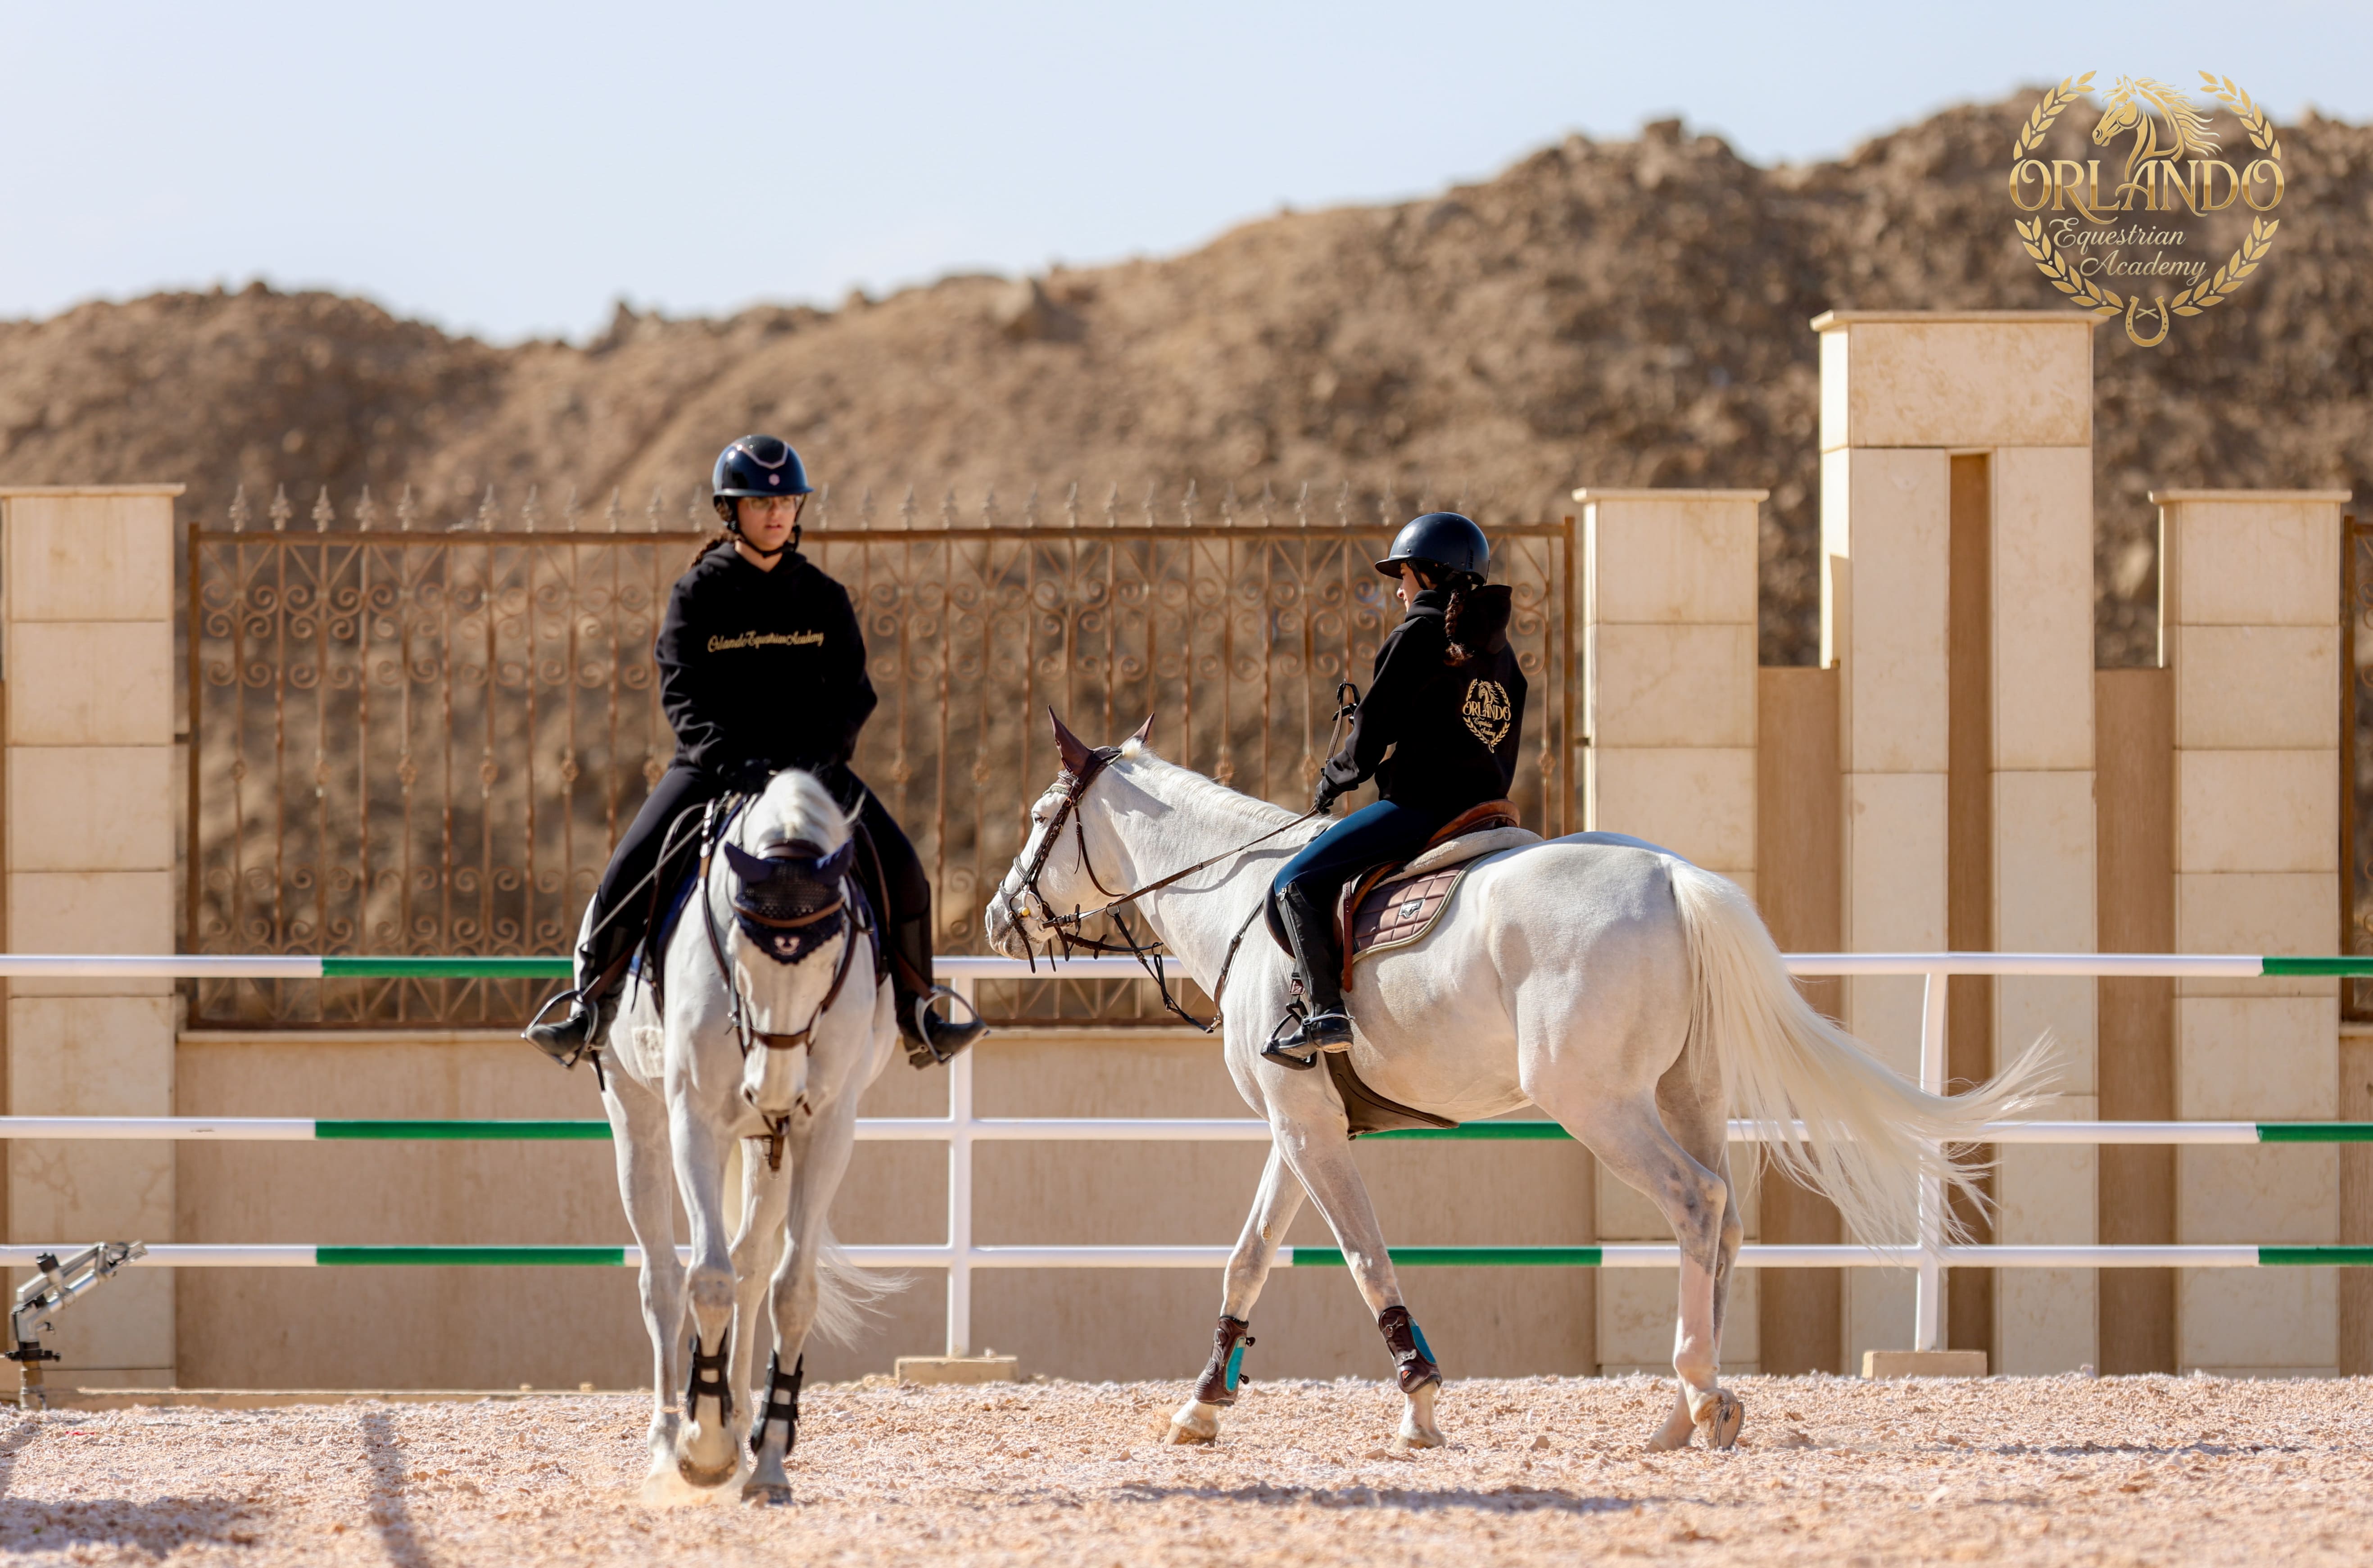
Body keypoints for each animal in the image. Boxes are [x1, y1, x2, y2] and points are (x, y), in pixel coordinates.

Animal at [591, 768, 902, 1502]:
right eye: (735, 944)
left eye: (833, 955)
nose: (775, 1086)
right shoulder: (693, 1121)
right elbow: (706, 1279)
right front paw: (702, 1447)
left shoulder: (827, 1129)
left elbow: (792, 1290)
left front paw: (767, 1455)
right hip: (637, 1119)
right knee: (662, 1278)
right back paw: (669, 1441)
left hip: (768, 1148)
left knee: (754, 1266)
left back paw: (740, 1428)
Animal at [983, 714, 2051, 1453]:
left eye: (1041, 817)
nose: (998, 915)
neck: (1247, 899)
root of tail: (1672, 878)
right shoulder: (1301, 1125)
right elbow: (1248, 1258)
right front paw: (1201, 1407)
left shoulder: (1308, 1130)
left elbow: (1365, 1258)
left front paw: (1419, 1404)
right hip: (1687, 1097)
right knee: (1725, 1222)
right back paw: (1680, 1414)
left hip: (1601, 1108)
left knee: (1696, 1203)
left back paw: (1701, 1390)